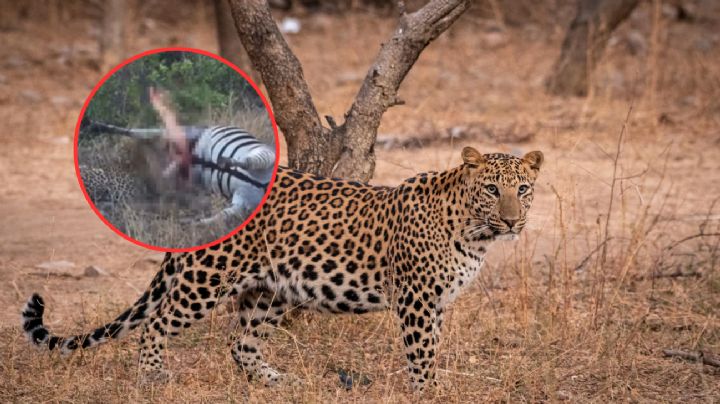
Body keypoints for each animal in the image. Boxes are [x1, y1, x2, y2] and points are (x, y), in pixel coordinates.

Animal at [22, 147, 544, 391]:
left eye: (523, 188)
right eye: (492, 190)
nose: (512, 221)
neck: (475, 232)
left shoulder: (435, 301)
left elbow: (431, 347)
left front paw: (432, 384)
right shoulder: (416, 298)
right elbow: (421, 351)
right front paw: (428, 390)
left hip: (270, 291)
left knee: (240, 343)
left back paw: (278, 381)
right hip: (206, 279)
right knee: (158, 322)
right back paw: (152, 378)